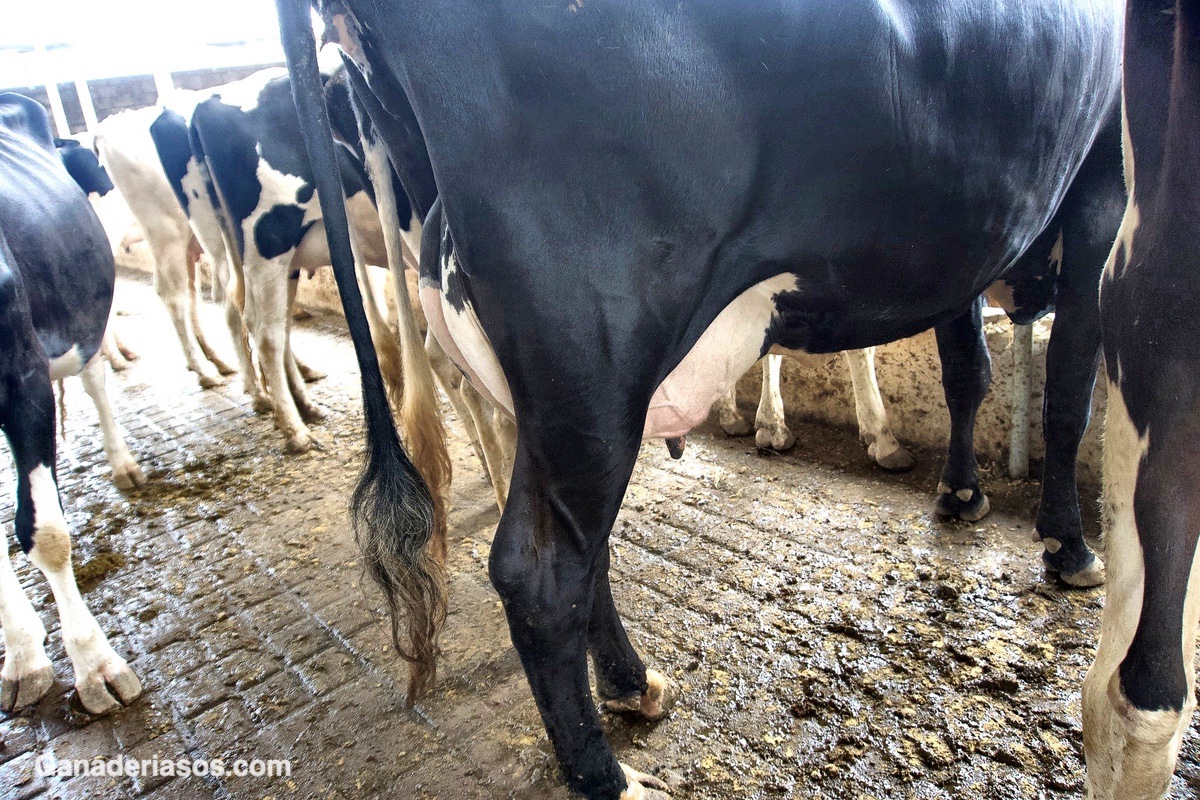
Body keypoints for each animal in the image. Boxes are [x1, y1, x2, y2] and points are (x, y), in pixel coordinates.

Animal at [278, 0, 1123, 796]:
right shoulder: (1104, 199)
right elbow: (1069, 399)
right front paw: (1070, 546)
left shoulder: (969, 250)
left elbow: (967, 371)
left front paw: (962, 493)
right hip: (594, 348)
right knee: (541, 572)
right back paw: (608, 777)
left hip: (545, 379)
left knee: (585, 546)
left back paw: (633, 684)